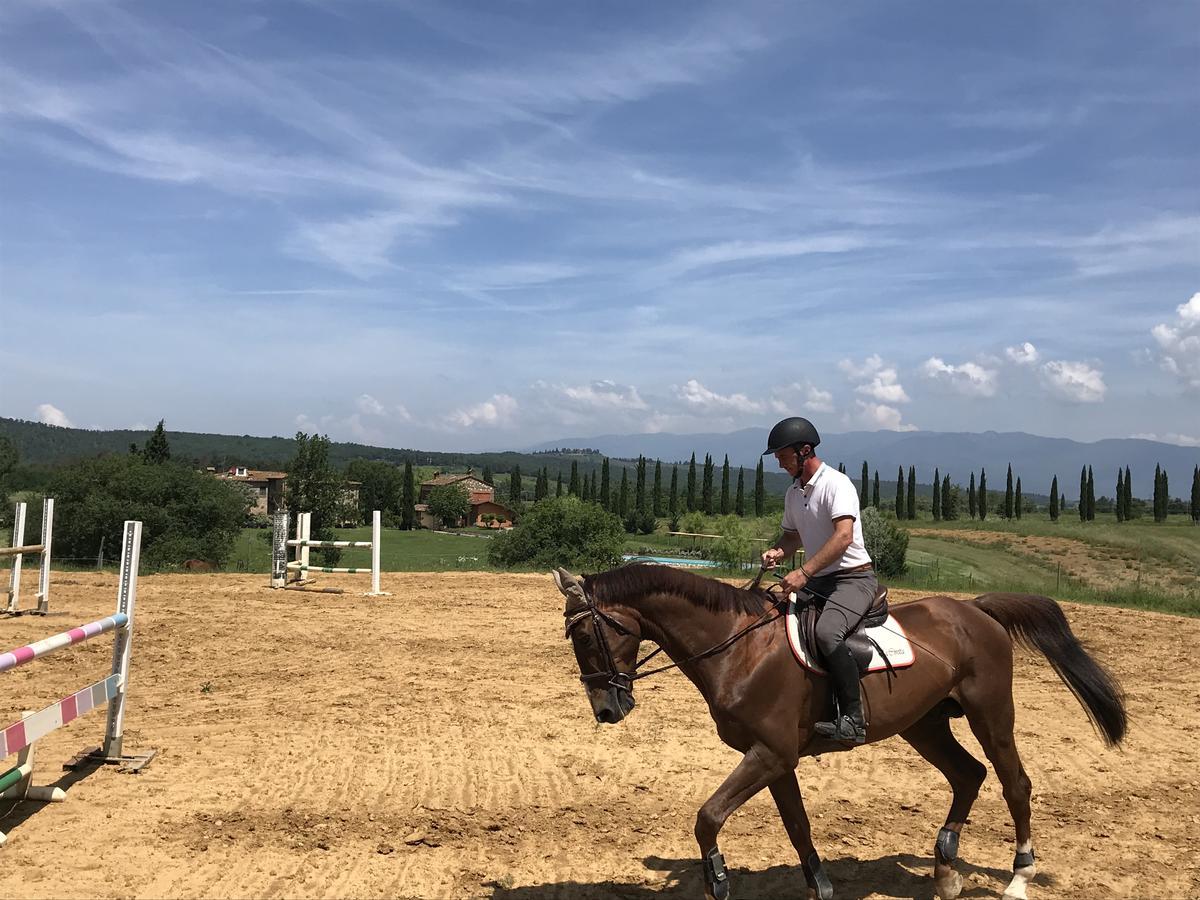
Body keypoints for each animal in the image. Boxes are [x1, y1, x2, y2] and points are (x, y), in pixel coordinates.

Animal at [552, 564, 1123, 900]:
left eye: (585, 635)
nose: (606, 710)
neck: (739, 647)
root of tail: (976, 609)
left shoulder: (769, 754)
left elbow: (708, 817)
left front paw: (718, 879)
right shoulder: (776, 759)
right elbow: (798, 826)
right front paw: (821, 887)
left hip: (991, 713)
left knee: (1014, 784)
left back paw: (1019, 878)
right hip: (924, 724)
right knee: (969, 775)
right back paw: (945, 870)